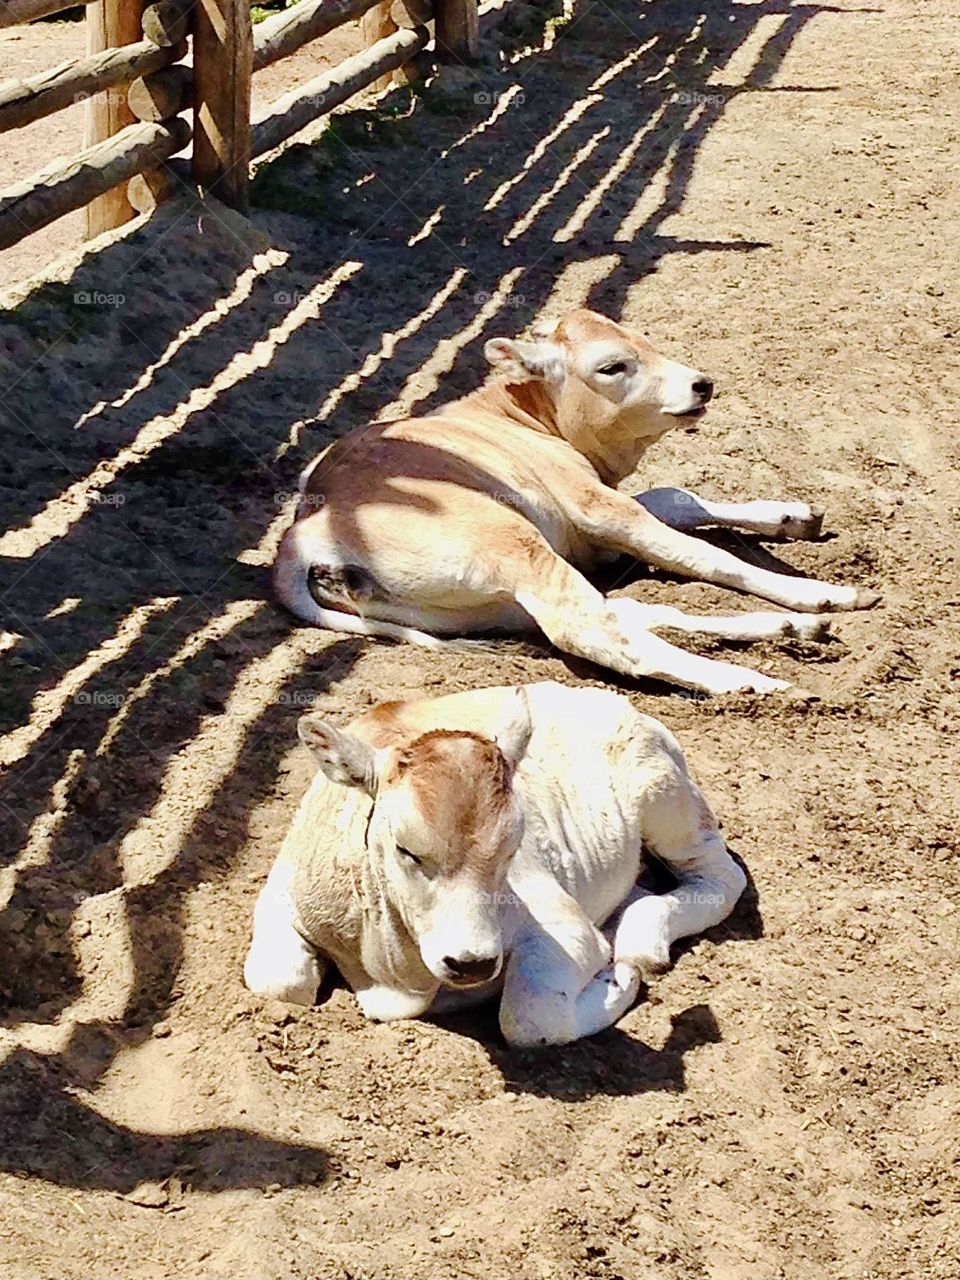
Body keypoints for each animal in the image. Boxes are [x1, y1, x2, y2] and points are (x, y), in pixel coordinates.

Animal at [243, 681, 747, 1046]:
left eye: (511, 847)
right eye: (406, 849)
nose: (471, 963)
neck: (394, 971)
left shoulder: (565, 928)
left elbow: (530, 1019)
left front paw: (618, 976)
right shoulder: (281, 893)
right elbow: (279, 983)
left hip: (666, 800)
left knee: (720, 877)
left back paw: (642, 939)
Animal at [273, 308, 879, 696]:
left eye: (646, 342)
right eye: (612, 366)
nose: (701, 384)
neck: (519, 415)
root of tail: (300, 535)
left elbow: (678, 498)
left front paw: (789, 516)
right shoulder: (595, 506)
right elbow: (703, 552)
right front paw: (816, 592)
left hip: (488, 604)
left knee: (627, 614)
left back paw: (788, 632)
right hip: (513, 545)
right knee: (596, 630)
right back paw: (752, 678)